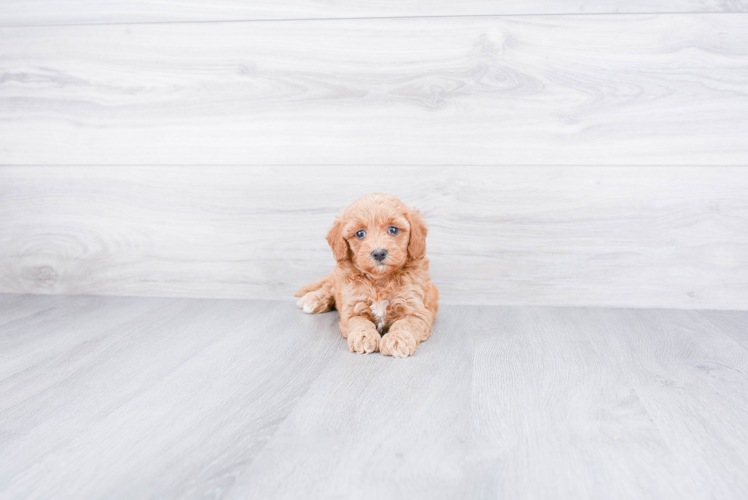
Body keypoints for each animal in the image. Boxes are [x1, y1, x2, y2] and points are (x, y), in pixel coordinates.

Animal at [296, 193, 438, 358]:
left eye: (393, 230)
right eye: (360, 233)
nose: (379, 253)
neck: (380, 279)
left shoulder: (416, 310)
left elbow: (405, 324)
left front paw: (397, 340)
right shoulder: (352, 308)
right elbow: (360, 322)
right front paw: (363, 337)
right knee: (329, 287)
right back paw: (313, 300)